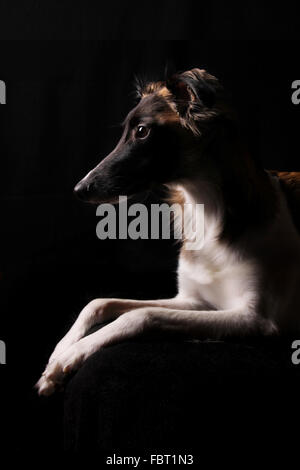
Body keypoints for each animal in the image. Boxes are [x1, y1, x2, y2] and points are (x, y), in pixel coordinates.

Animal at [35, 68, 300, 394]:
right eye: (126, 130)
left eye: (142, 131)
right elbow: (99, 301)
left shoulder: (257, 319)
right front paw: (59, 351)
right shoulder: (193, 300)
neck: (210, 217)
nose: (79, 189)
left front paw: (70, 356)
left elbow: (141, 315)